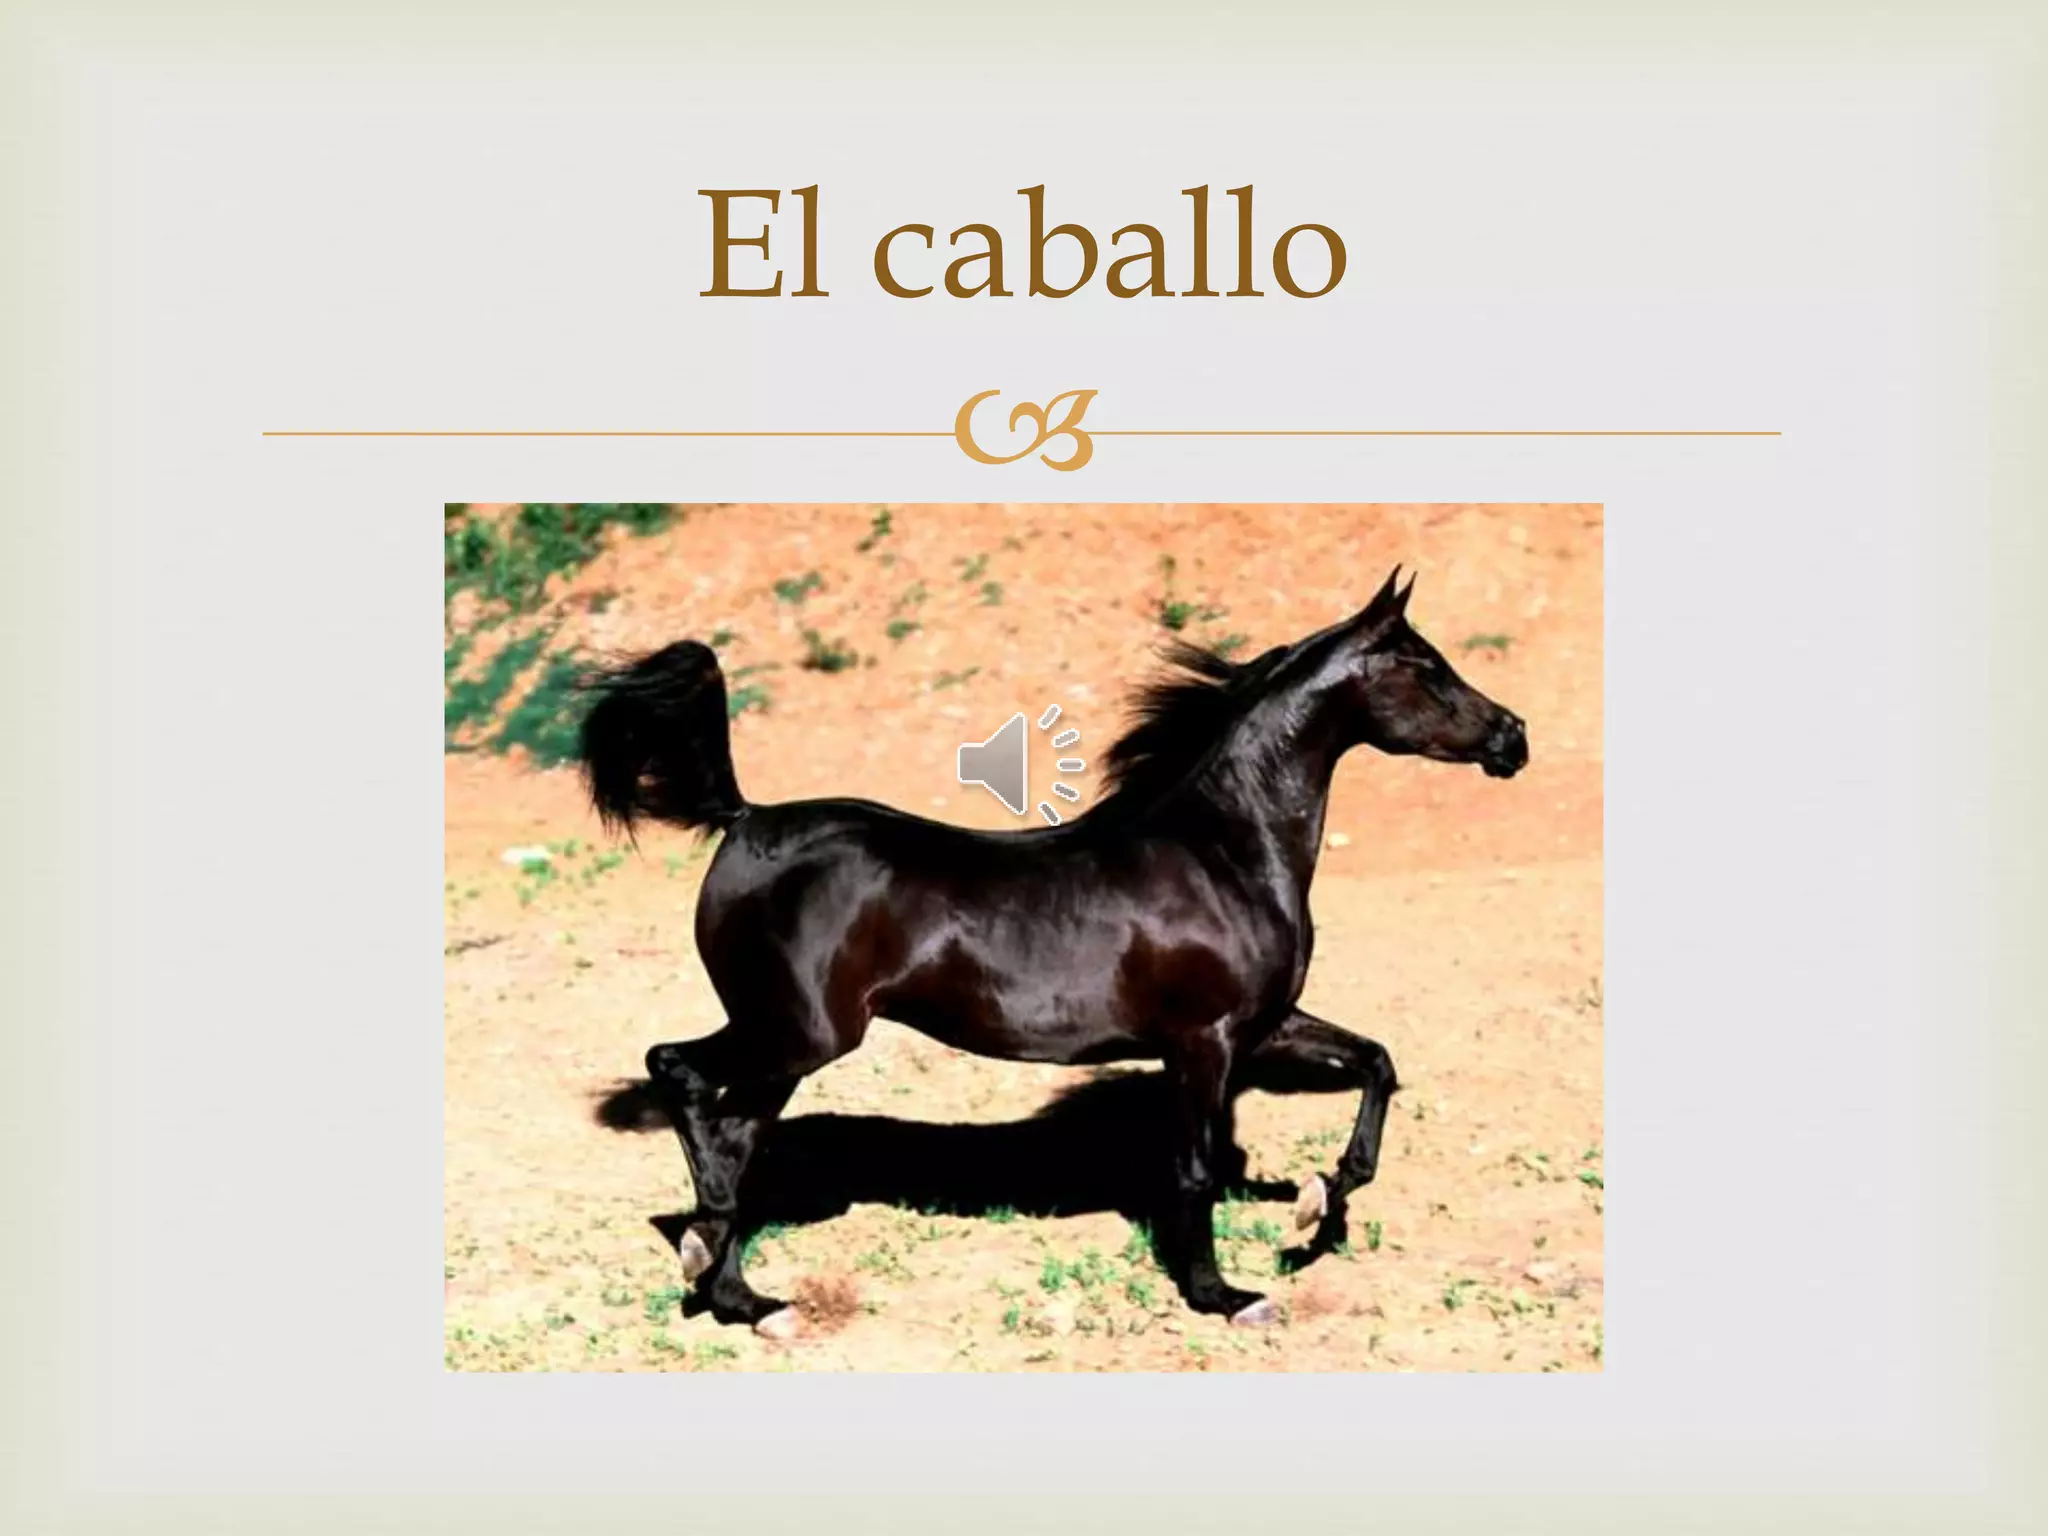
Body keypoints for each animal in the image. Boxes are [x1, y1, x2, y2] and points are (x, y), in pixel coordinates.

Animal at [577, 567, 1528, 1336]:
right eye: (1427, 667)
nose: (1513, 737)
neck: (1221, 851)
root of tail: (744, 820)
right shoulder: (1204, 1041)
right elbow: (1194, 1171)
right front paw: (1225, 1296)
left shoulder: (1264, 1024)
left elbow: (1375, 1062)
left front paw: (1316, 1205)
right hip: (796, 1032)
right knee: (682, 1078)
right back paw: (711, 1255)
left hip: (785, 1042)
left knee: (733, 1134)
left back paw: (743, 1297)